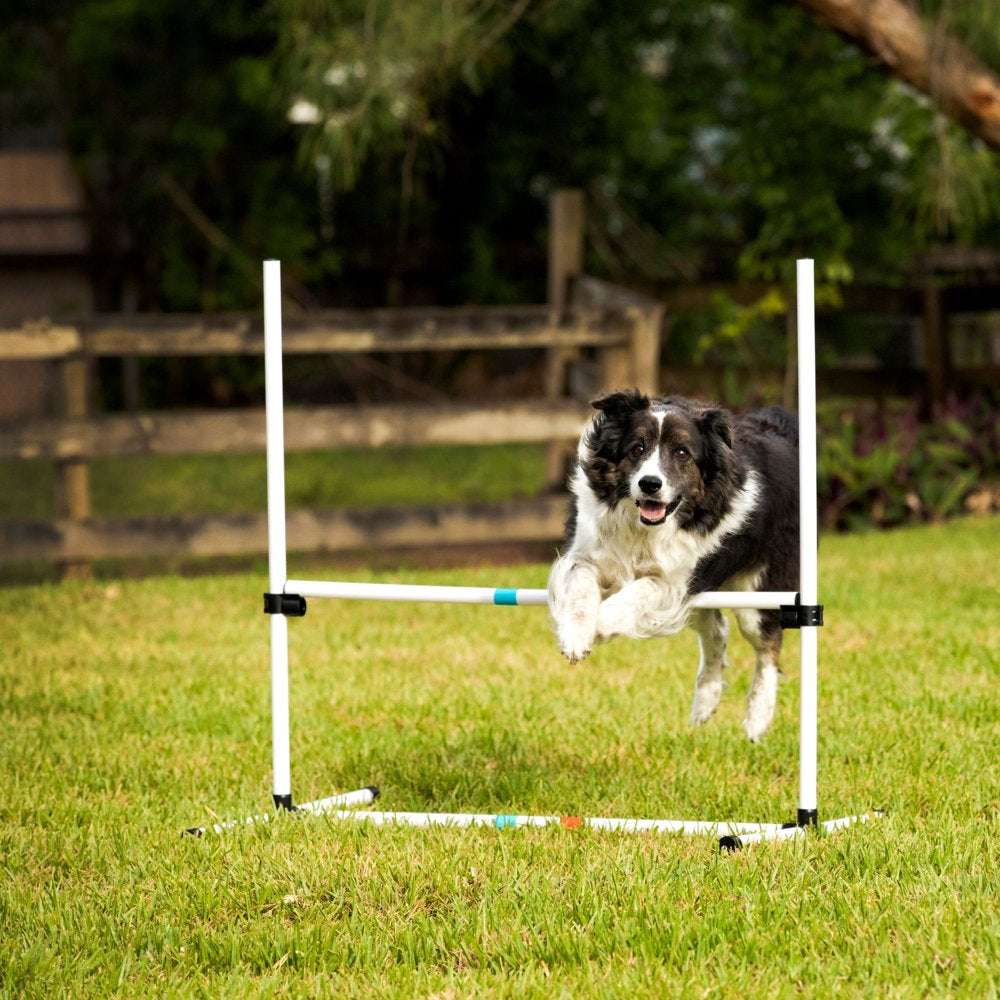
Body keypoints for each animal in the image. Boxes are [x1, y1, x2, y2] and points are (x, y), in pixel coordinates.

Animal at [548, 390, 796, 744]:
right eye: (637, 448)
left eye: (682, 453)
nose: (650, 484)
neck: (645, 528)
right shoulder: (587, 554)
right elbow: (581, 585)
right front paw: (575, 636)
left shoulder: (674, 582)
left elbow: (634, 594)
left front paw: (600, 627)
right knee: (716, 629)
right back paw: (705, 701)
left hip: (758, 594)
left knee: (768, 646)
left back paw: (758, 719)